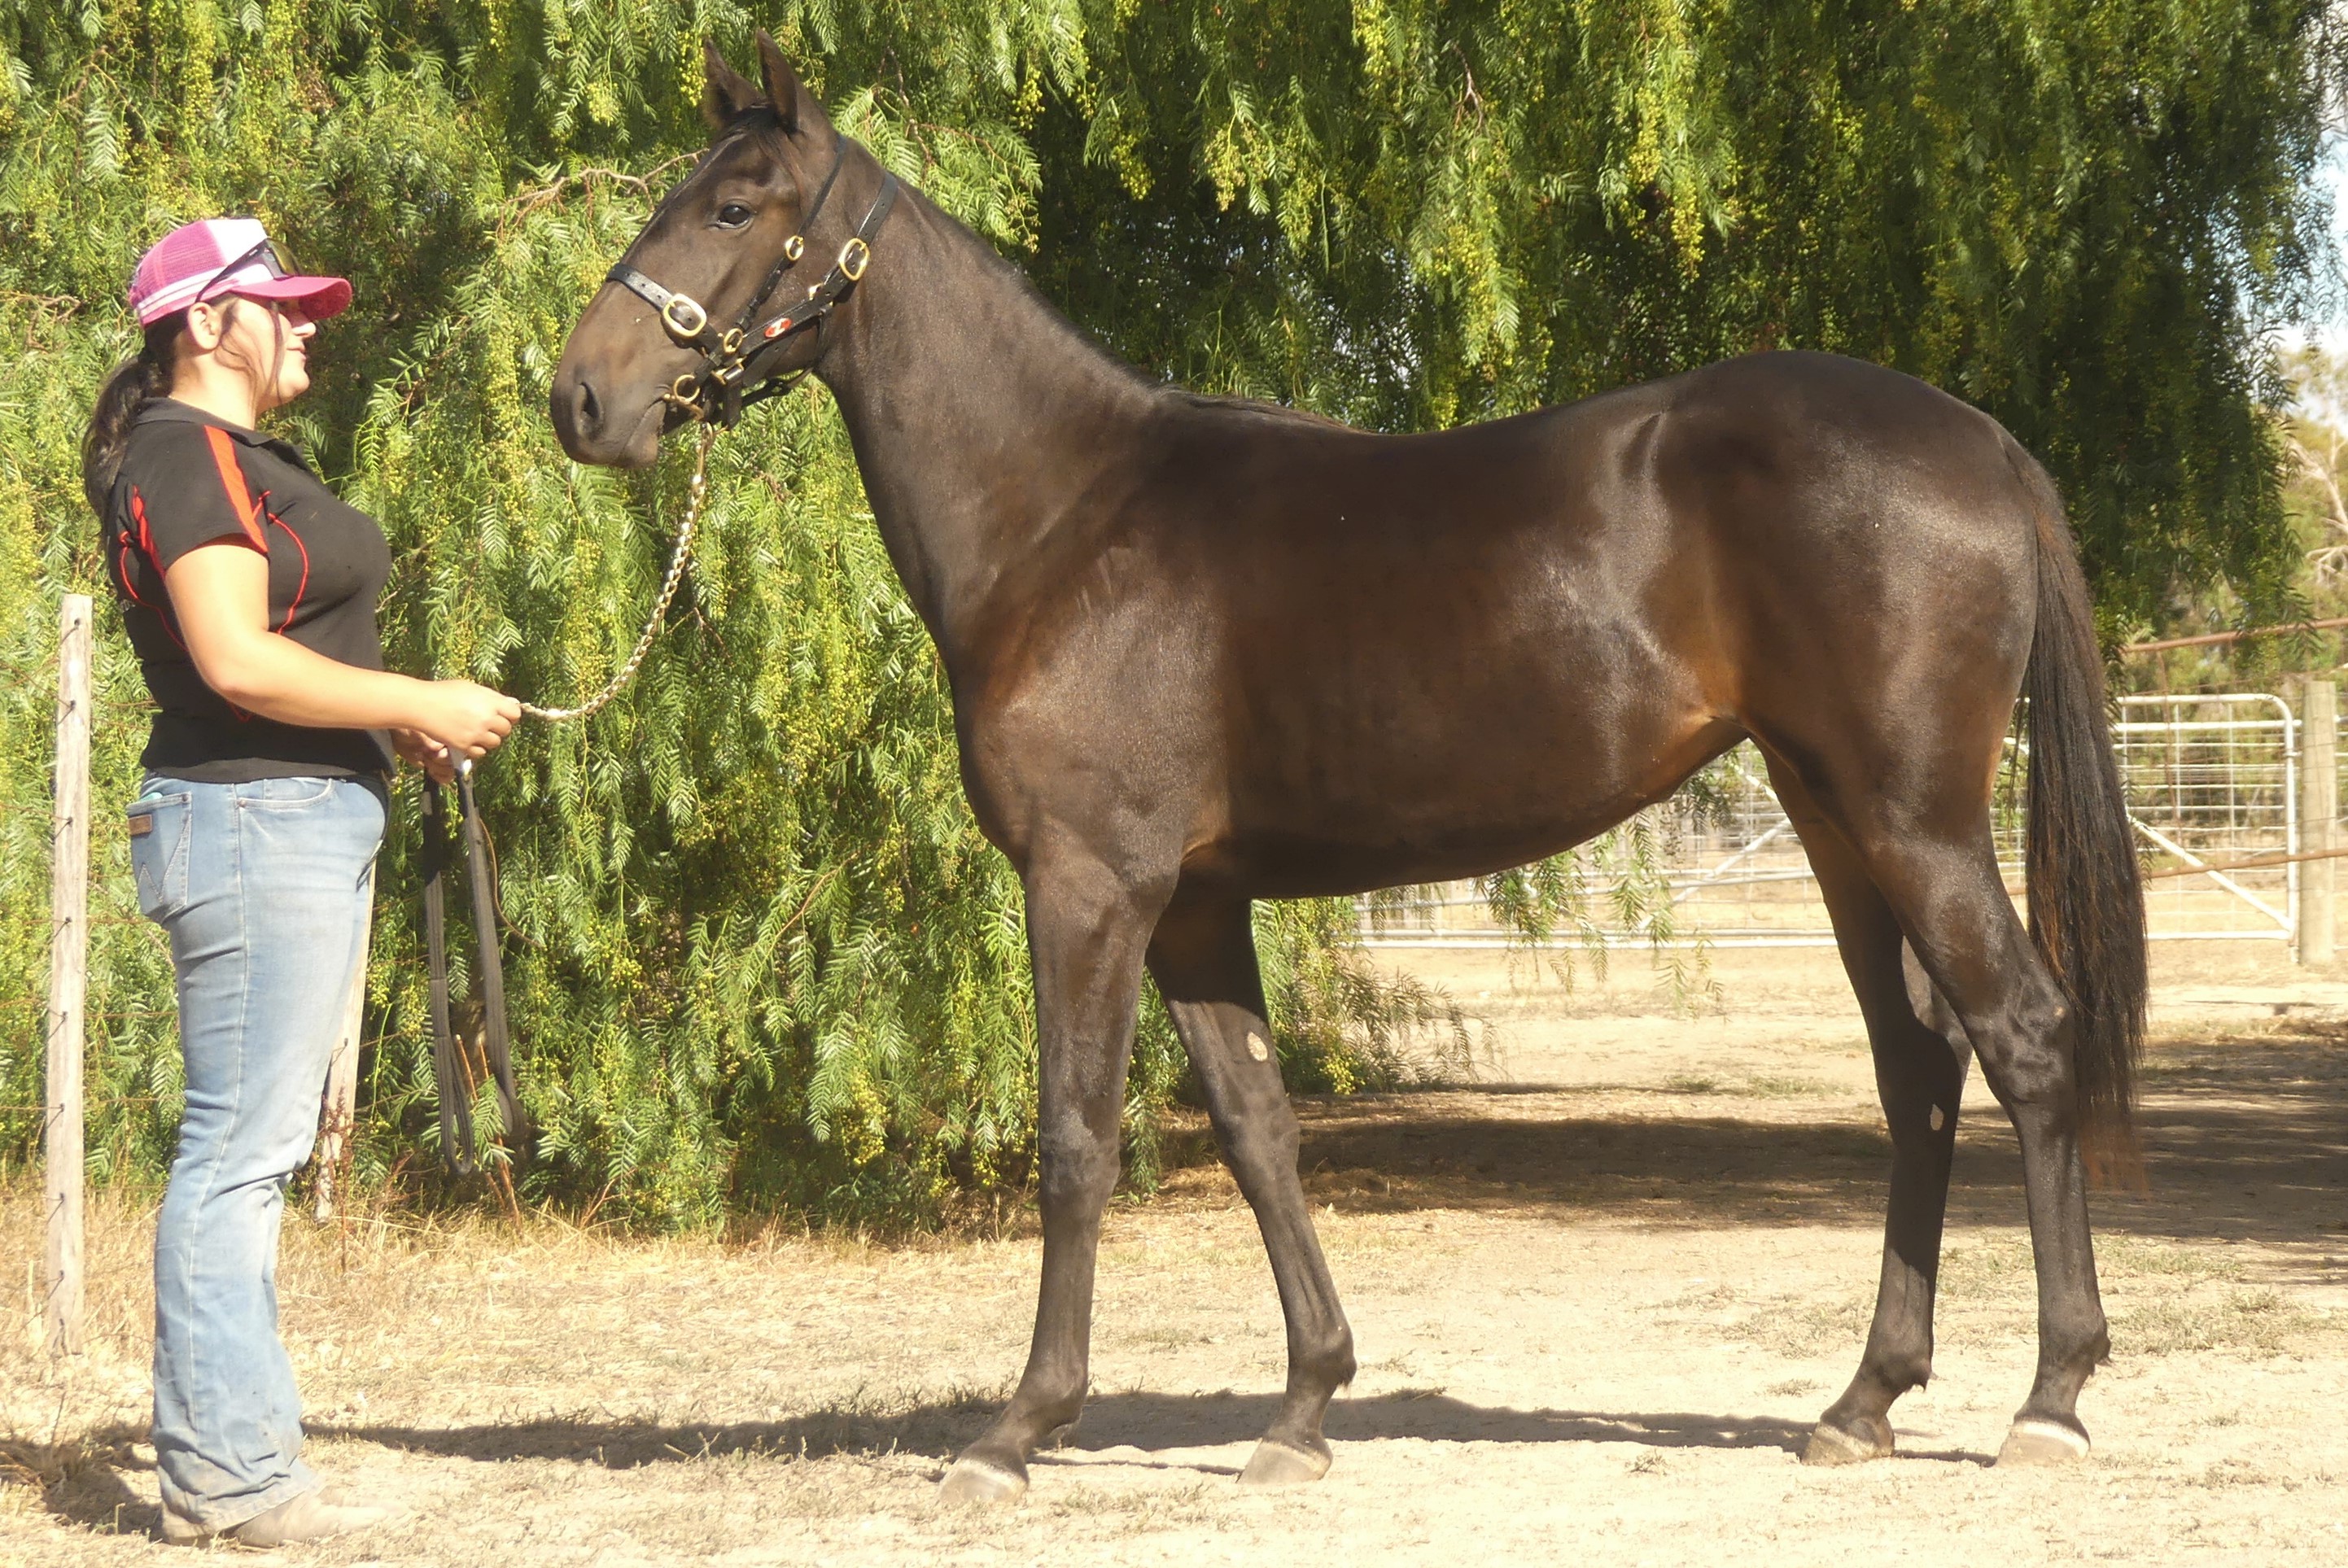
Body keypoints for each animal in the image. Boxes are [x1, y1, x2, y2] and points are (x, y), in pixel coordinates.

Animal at [550, 33, 2146, 1503]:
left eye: (737, 204)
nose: (578, 398)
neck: (1068, 518)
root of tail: (1987, 443)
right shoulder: (1194, 905)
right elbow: (1261, 1131)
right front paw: (1305, 1406)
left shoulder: (1089, 884)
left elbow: (1075, 1139)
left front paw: (1019, 1429)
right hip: (1833, 824)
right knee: (1917, 1067)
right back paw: (1863, 1399)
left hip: (1916, 821)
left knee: (2024, 1036)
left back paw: (2053, 1398)